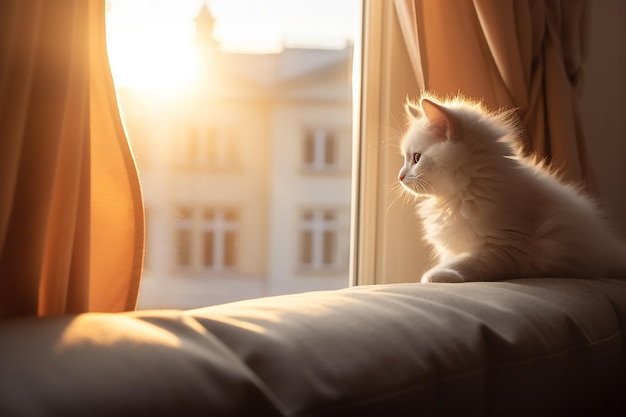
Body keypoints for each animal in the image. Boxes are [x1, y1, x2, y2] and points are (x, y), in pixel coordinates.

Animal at [398, 94, 624, 282]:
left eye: (416, 158)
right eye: (406, 159)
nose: (400, 176)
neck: (463, 194)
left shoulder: (504, 248)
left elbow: (465, 262)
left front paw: (436, 275)